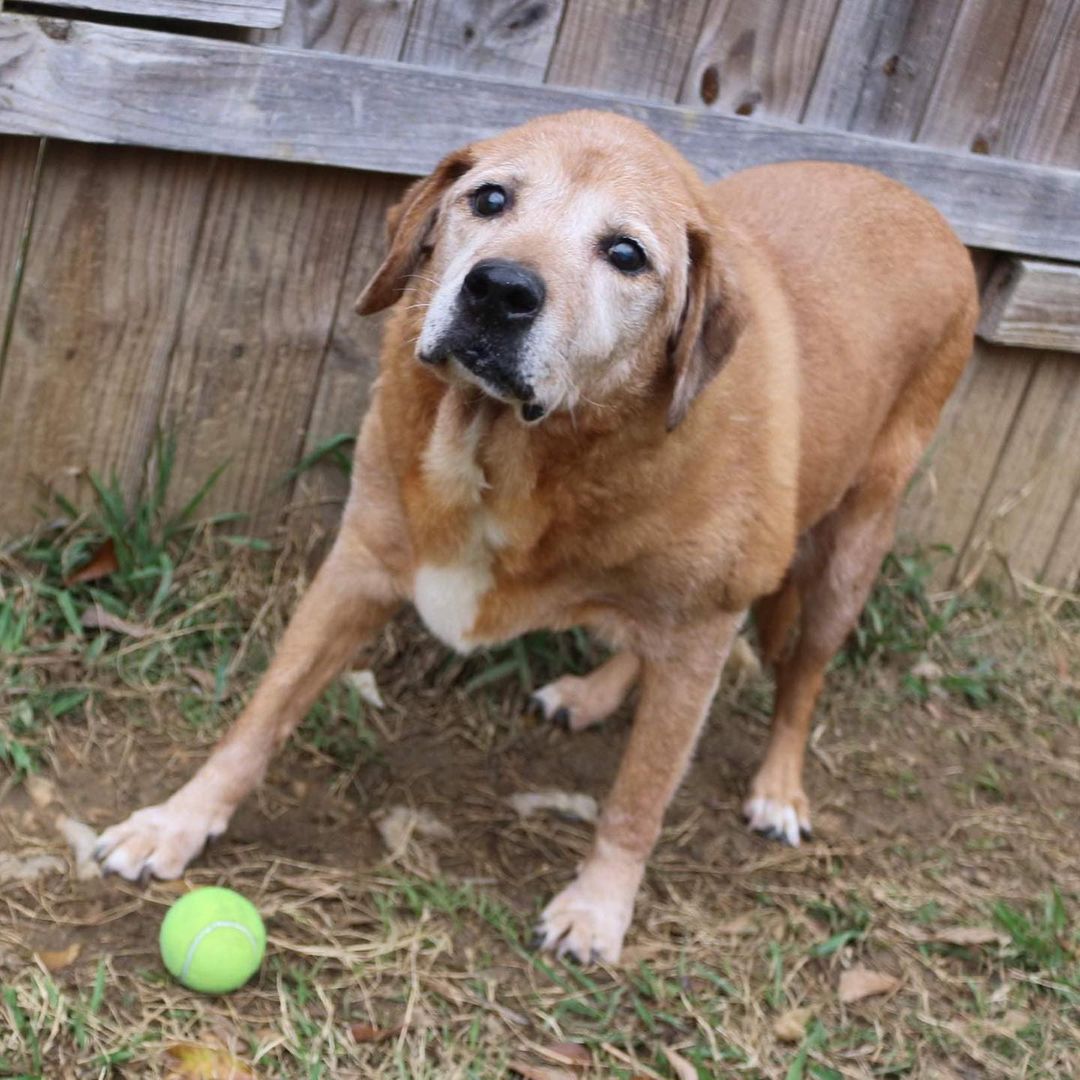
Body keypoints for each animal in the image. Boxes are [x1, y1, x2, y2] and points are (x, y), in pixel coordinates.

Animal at [97, 111, 980, 963]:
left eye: (626, 253)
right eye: (490, 199)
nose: (499, 289)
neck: (508, 452)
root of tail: (919, 203)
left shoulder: (703, 624)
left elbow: (639, 797)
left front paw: (599, 909)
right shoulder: (360, 565)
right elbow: (259, 716)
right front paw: (177, 820)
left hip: (849, 551)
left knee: (802, 677)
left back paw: (778, 786)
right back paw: (595, 692)